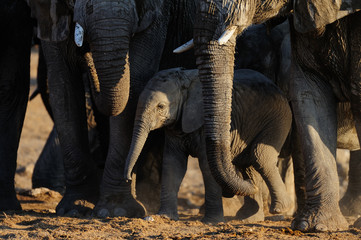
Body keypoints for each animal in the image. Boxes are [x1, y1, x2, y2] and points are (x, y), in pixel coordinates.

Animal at [124, 68, 292, 223]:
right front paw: (165, 217)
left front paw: (212, 221)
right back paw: (248, 216)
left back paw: (279, 209)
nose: (128, 178)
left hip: (277, 117)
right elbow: (173, 164)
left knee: (259, 155)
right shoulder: (176, 127)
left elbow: (206, 166)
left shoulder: (204, 124)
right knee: (247, 164)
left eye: (160, 106)